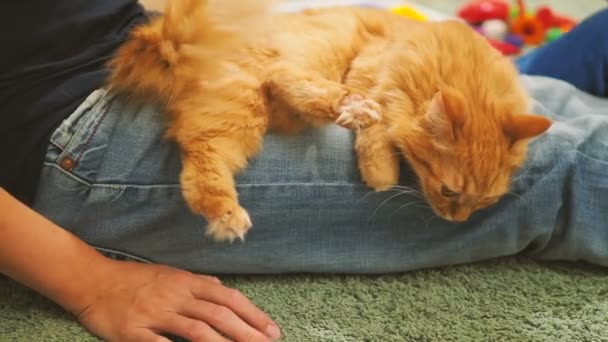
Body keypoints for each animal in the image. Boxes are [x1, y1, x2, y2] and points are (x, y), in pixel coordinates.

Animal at [108, 0, 552, 240]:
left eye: (484, 203)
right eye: (448, 191)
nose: (455, 220)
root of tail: (170, 42)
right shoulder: (376, 64)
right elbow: (380, 134)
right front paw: (381, 172)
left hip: (237, 118)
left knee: (201, 160)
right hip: (265, 90)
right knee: (274, 86)